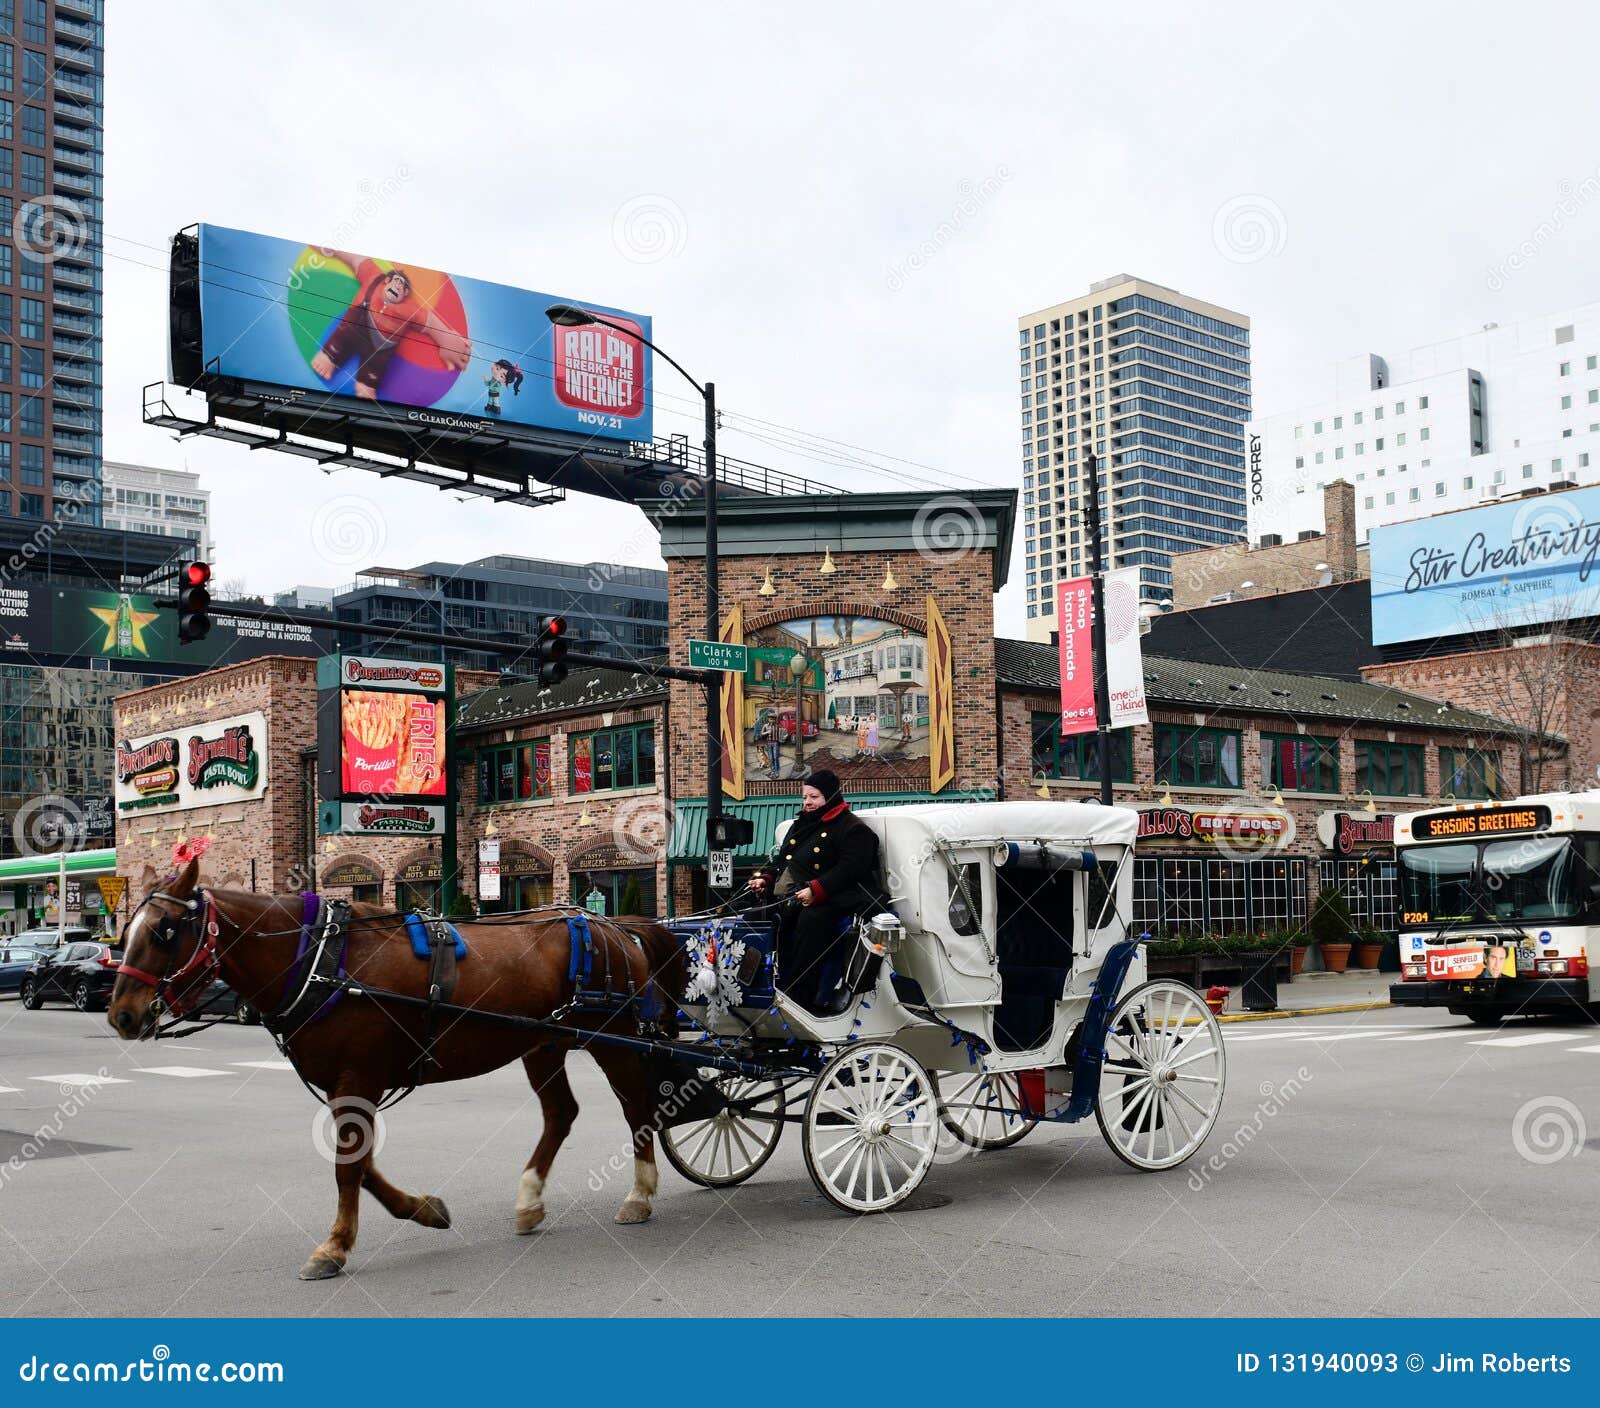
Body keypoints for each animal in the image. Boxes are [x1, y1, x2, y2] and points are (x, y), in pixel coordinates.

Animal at [106, 857, 688, 1286]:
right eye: (126, 930)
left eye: (164, 931)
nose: (121, 1015)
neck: (320, 963)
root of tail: (616, 925)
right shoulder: (349, 1085)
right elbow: (362, 1166)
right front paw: (425, 1209)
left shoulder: (357, 1079)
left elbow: (348, 1167)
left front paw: (334, 1247)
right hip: (544, 1043)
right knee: (561, 1114)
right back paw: (529, 1200)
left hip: (614, 1039)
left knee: (636, 1108)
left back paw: (639, 1195)